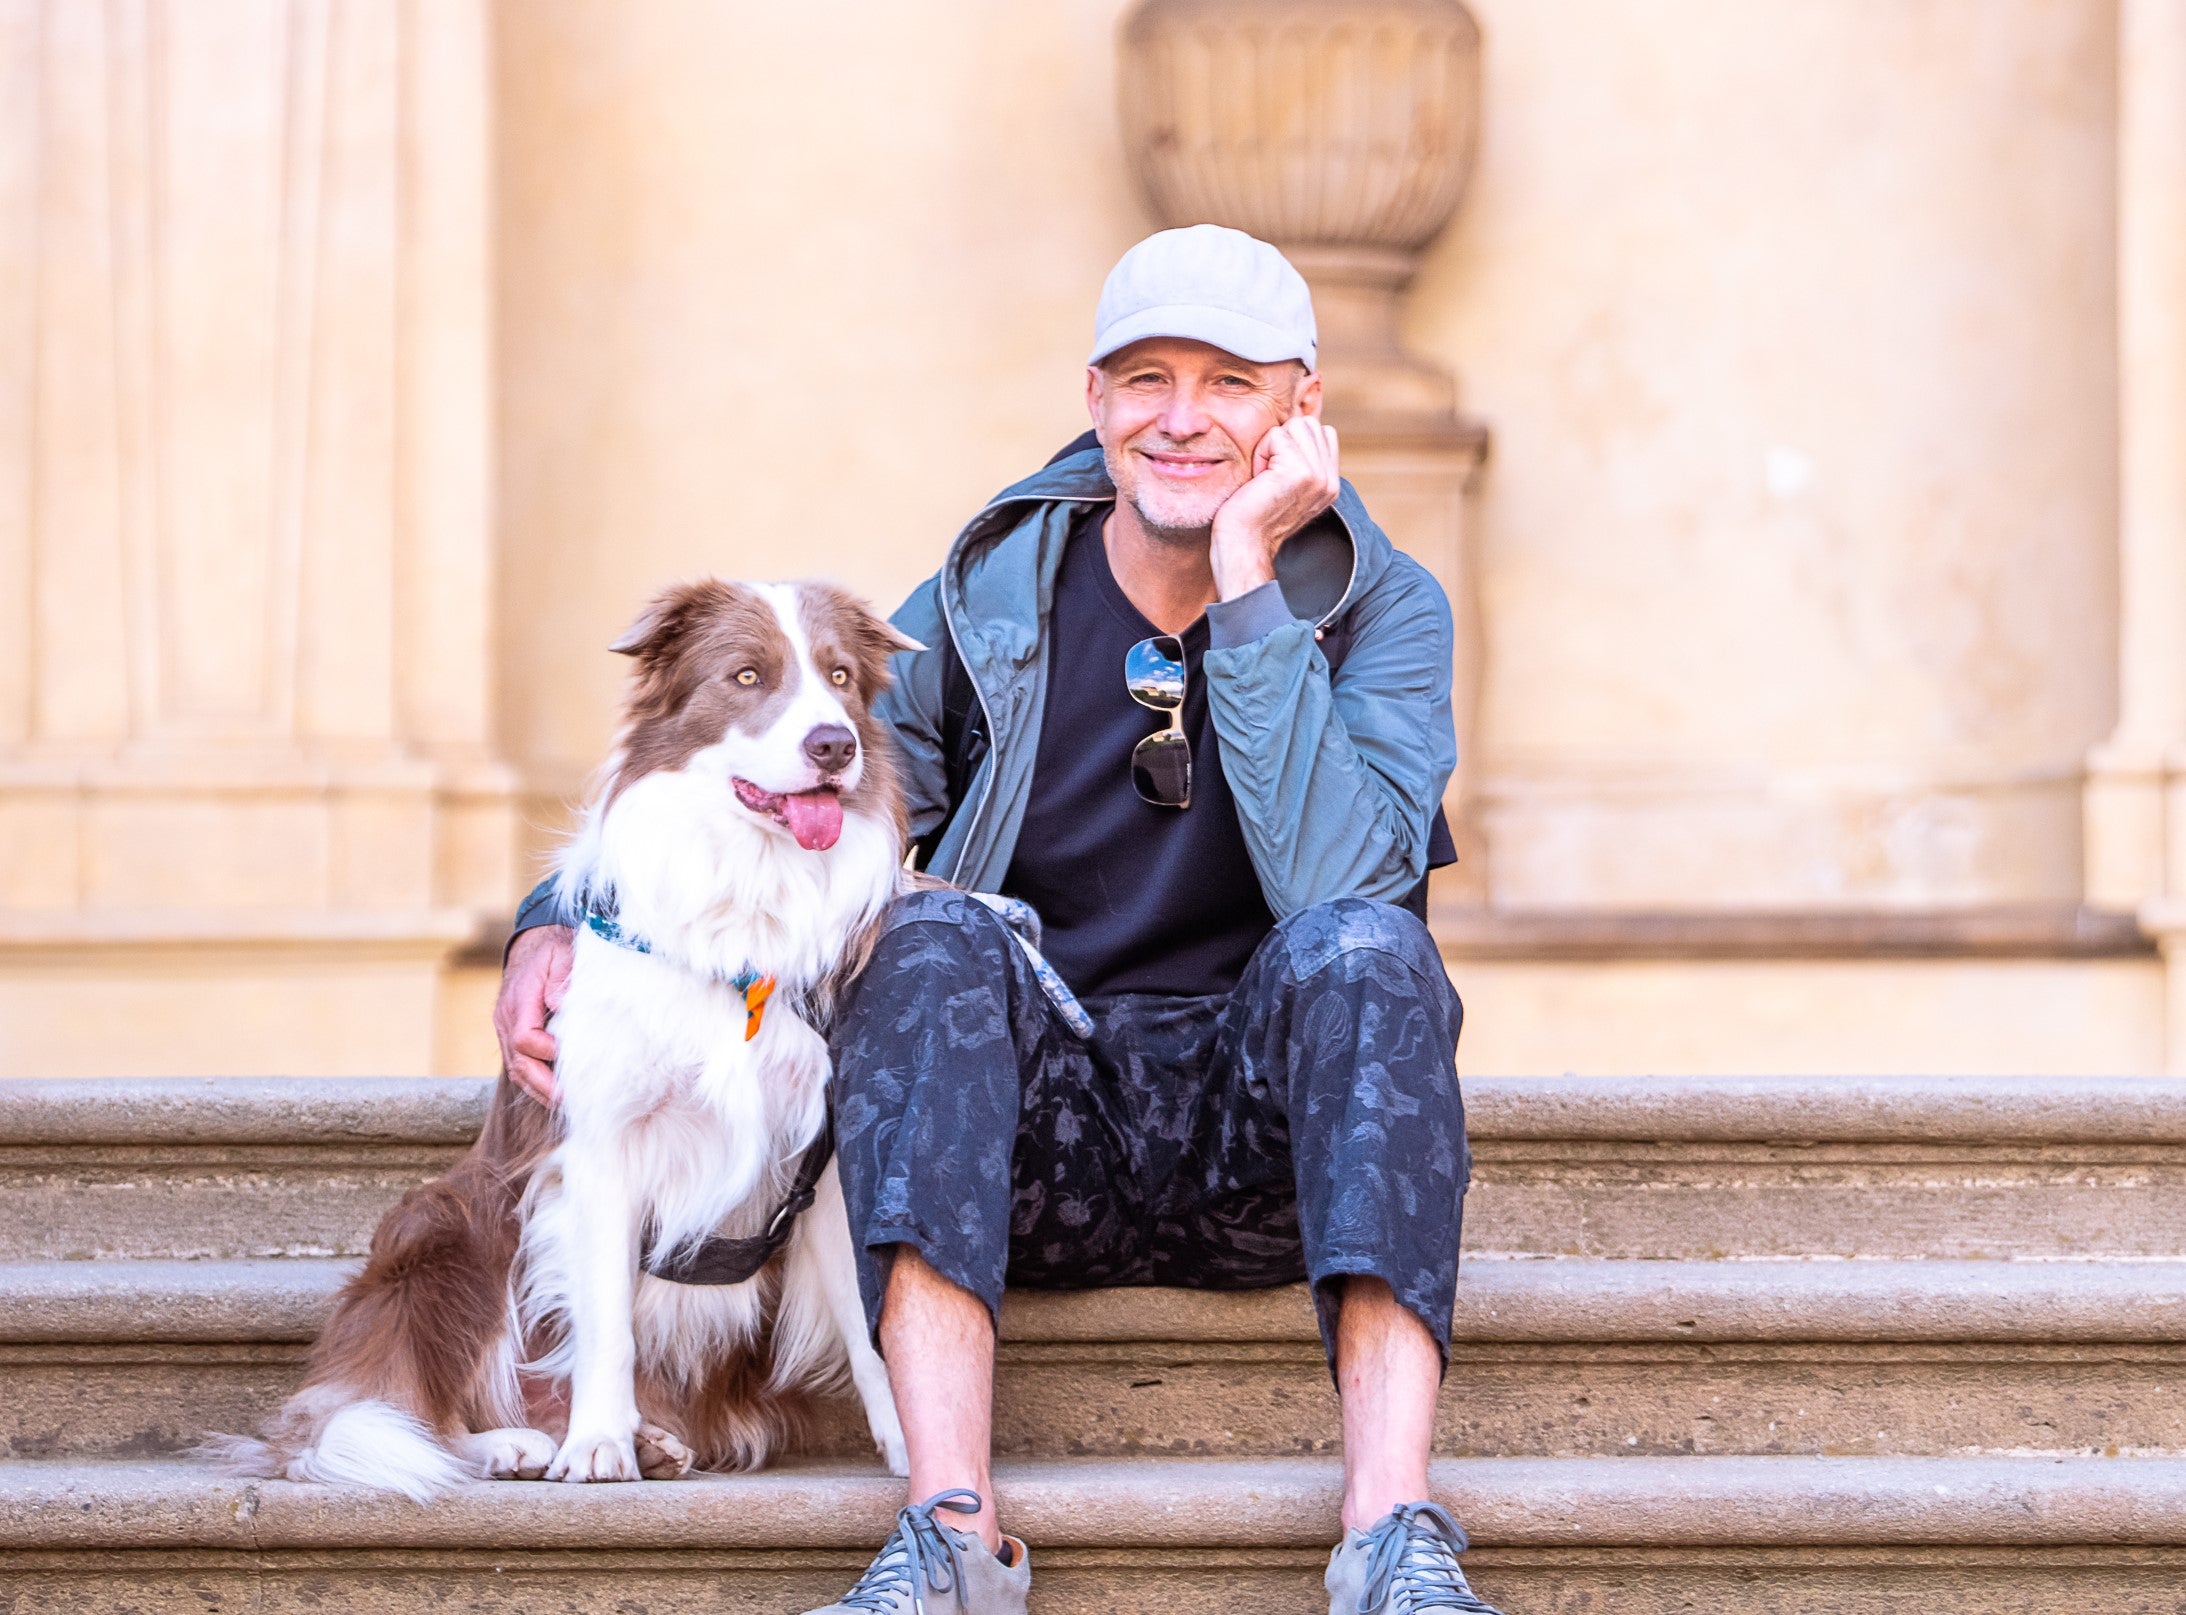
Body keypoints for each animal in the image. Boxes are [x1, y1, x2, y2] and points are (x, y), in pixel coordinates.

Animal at [232, 581, 922, 1503]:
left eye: (841, 677)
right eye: (747, 675)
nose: (834, 744)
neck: (748, 902)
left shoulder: (828, 1161)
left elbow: (873, 1329)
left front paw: (913, 1444)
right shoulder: (599, 1147)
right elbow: (604, 1321)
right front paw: (597, 1443)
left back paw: (651, 1438)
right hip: (449, 1226)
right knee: (409, 1410)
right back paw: (518, 1443)